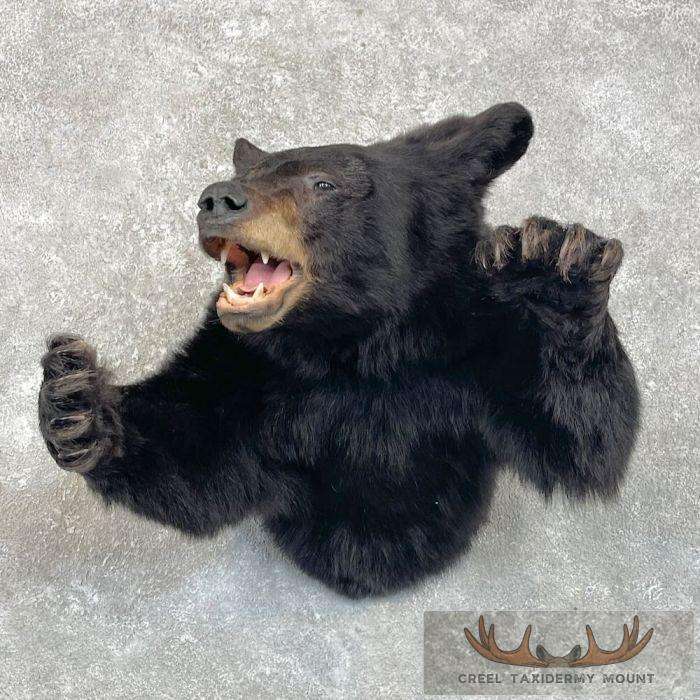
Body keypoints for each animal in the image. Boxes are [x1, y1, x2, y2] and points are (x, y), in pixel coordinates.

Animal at [38, 103, 639, 598]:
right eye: (247, 174)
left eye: (322, 183)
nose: (216, 198)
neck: (352, 347)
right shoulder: (248, 367)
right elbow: (194, 451)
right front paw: (77, 404)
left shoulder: (470, 347)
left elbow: (574, 440)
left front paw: (555, 271)